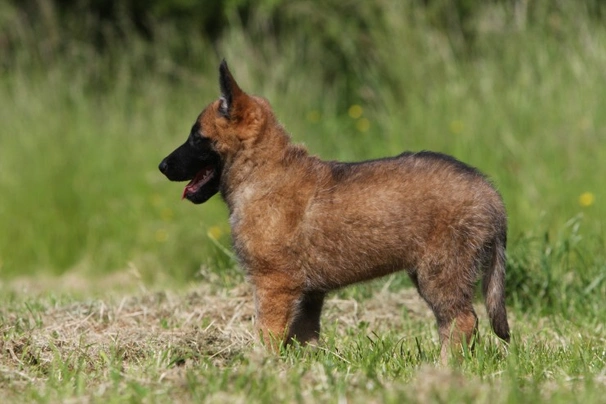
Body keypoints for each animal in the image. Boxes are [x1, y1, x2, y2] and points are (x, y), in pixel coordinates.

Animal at [159, 60, 510, 362]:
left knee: (461, 321)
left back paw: (443, 367)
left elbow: (267, 334)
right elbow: (303, 336)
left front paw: (260, 367)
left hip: (441, 272)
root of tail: (489, 191)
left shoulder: (274, 284)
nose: (162, 166)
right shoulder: (309, 294)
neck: (262, 170)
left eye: (196, 137)